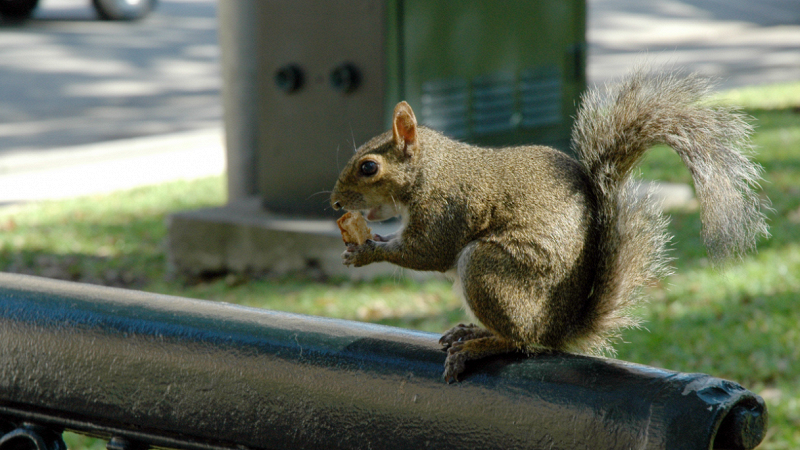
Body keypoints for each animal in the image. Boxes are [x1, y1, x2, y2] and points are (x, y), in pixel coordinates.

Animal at [326, 68, 768, 382]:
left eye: (369, 167)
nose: (335, 203)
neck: (431, 170)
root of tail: (557, 330)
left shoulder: (447, 207)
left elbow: (427, 252)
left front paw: (365, 251)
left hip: (488, 269)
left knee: (519, 342)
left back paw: (477, 345)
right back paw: (469, 331)